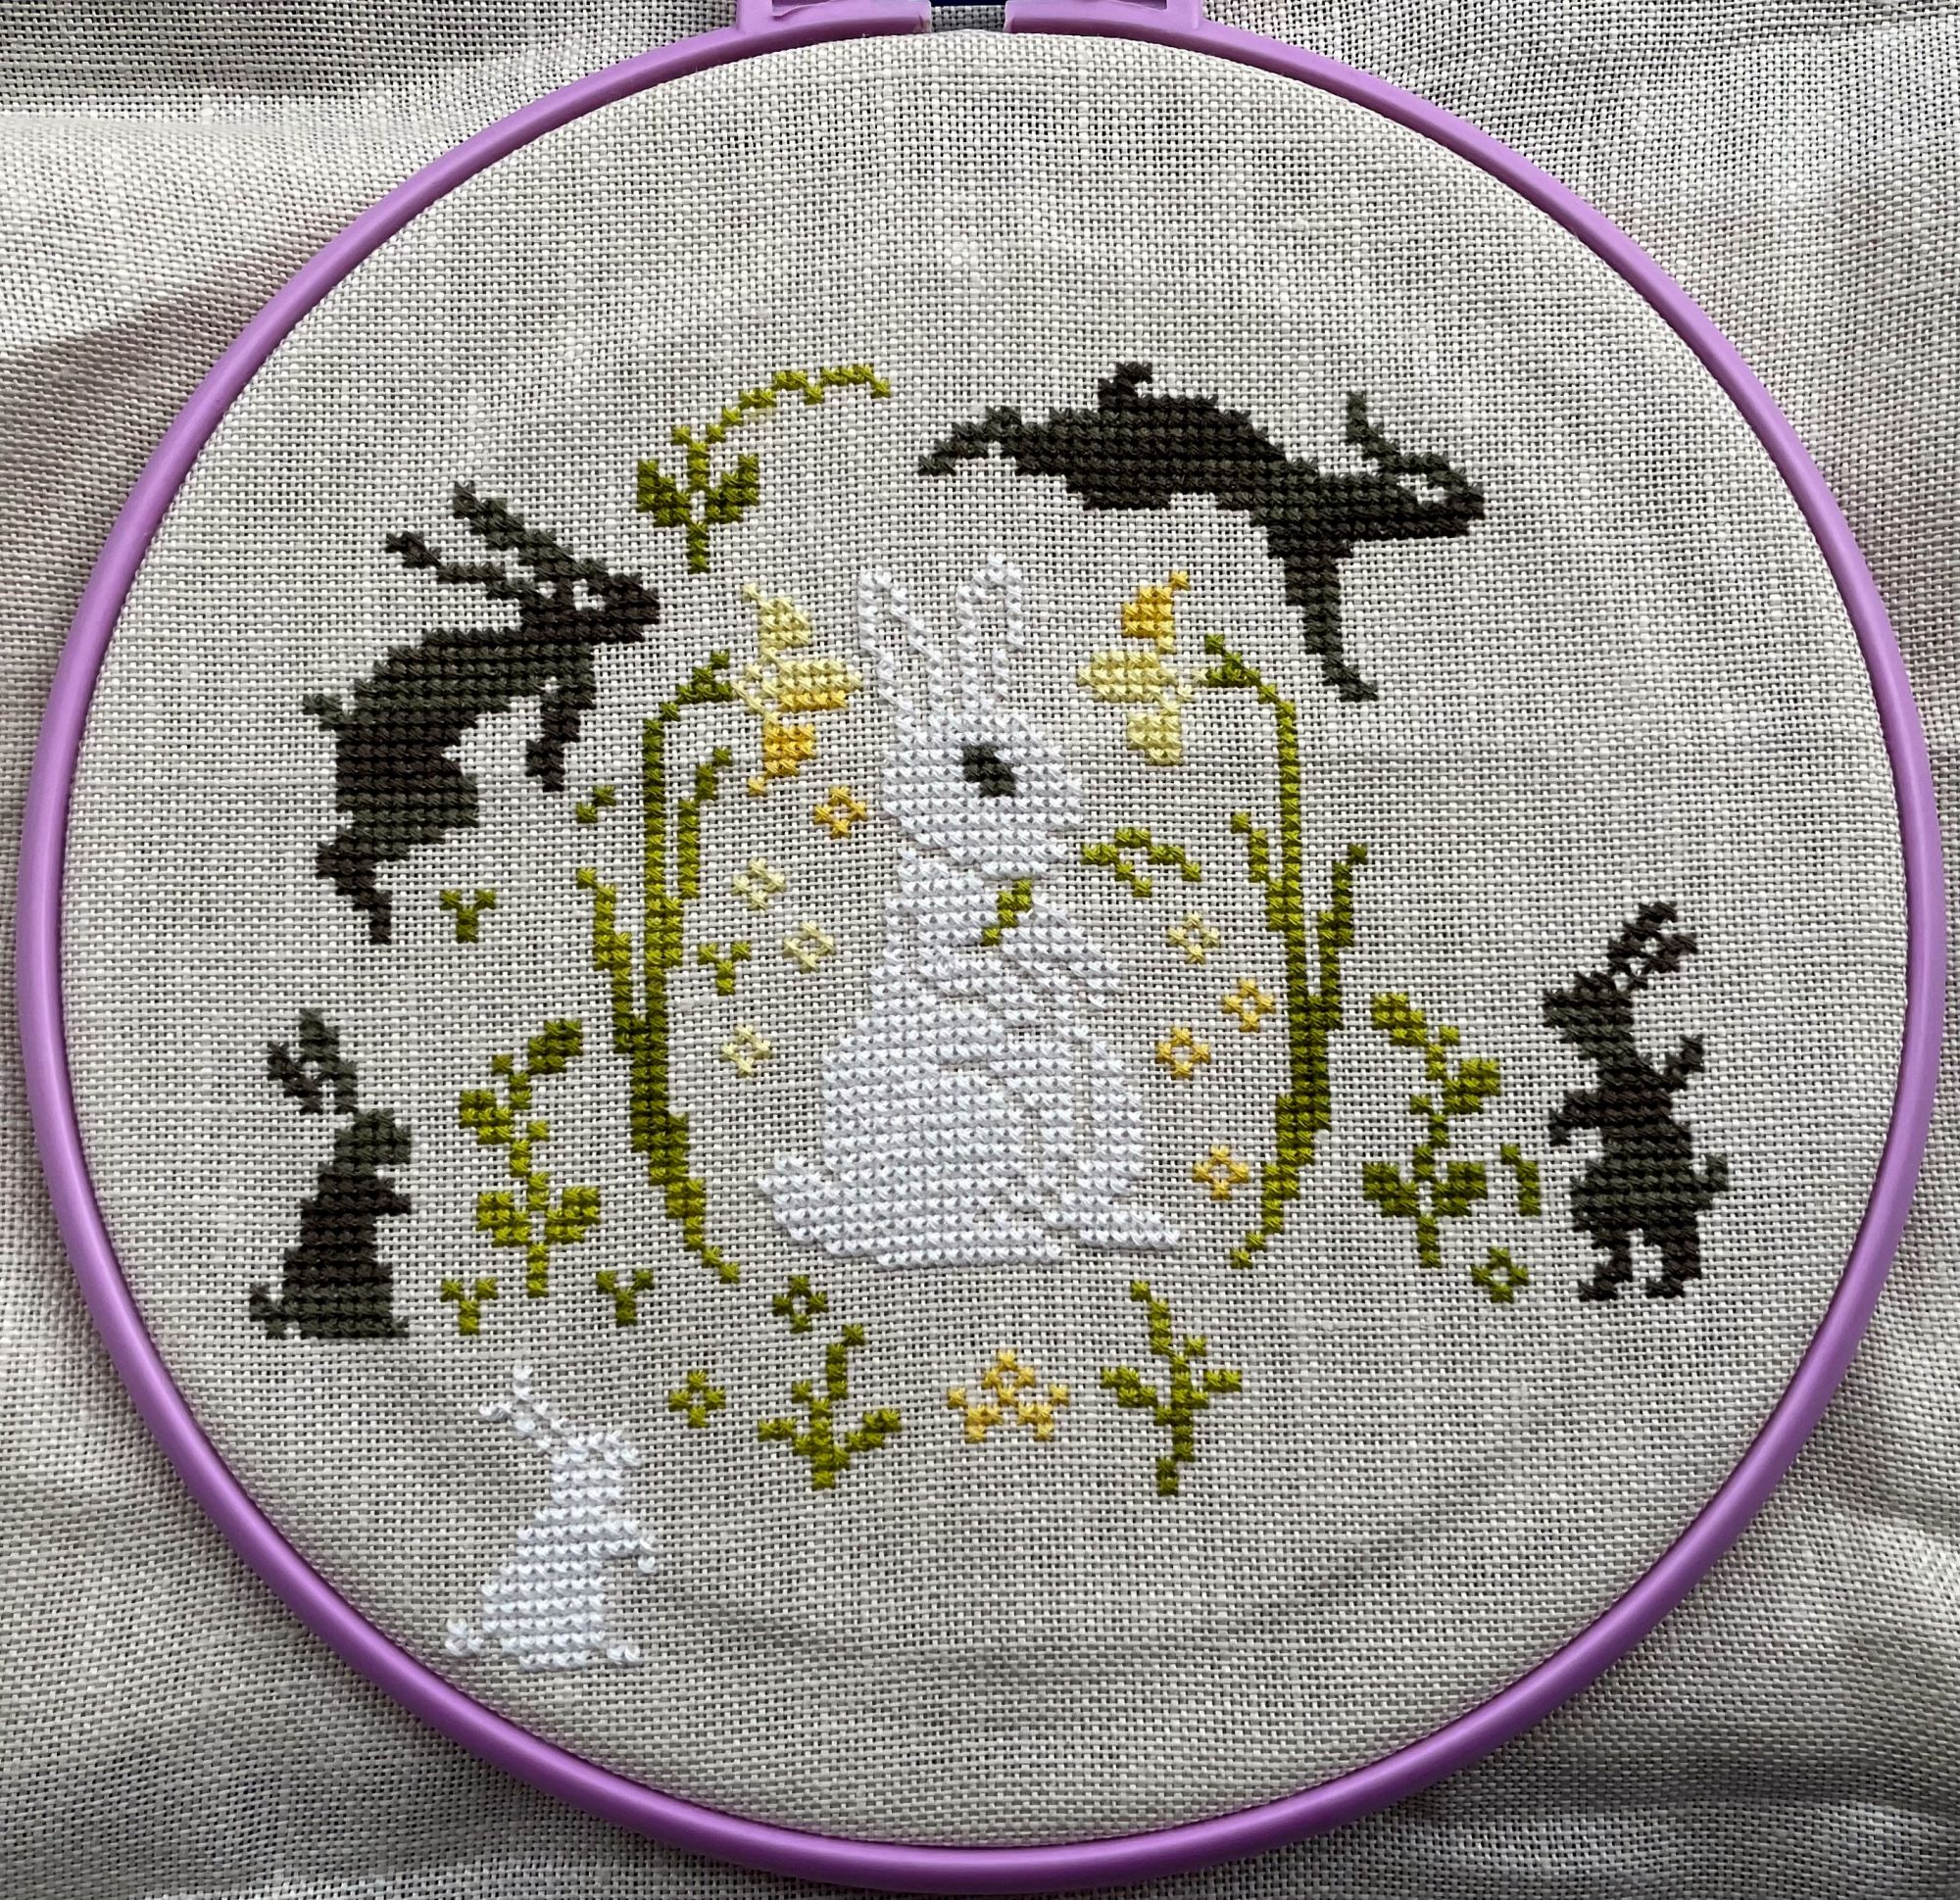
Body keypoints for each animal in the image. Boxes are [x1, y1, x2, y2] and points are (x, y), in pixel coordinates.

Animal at [444, 1364, 658, 1670]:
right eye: (593, 1454)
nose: (621, 1453)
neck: (578, 1503)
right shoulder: (594, 1532)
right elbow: (624, 1539)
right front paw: (644, 1556)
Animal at [758, 558, 1180, 1270]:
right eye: (987, 770)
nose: (1070, 814)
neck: (979, 876)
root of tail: (846, 1207)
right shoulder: (933, 929)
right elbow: (961, 968)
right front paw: (1022, 1001)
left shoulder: (1022, 915)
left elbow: (1044, 936)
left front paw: (1090, 973)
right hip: (987, 1114)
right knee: (938, 1222)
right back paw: (1017, 1238)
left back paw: (1111, 1222)